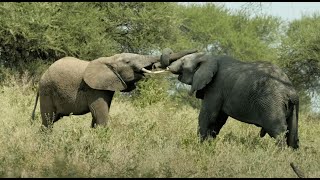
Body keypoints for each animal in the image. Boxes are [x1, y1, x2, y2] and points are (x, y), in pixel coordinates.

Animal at [32, 48, 198, 129]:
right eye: (128, 62)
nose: (198, 50)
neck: (109, 59)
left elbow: (97, 118)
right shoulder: (94, 89)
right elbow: (101, 116)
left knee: (52, 120)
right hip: (47, 91)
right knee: (48, 121)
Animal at [166, 52, 298, 149]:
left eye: (183, 62)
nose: (168, 67)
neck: (209, 57)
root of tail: (291, 91)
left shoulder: (215, 88)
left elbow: (208, 116)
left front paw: (200, 147)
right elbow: (218, 120)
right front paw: (208, 146)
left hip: (272, 103)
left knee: (278, 131)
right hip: (292, 108)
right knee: (292, 136)